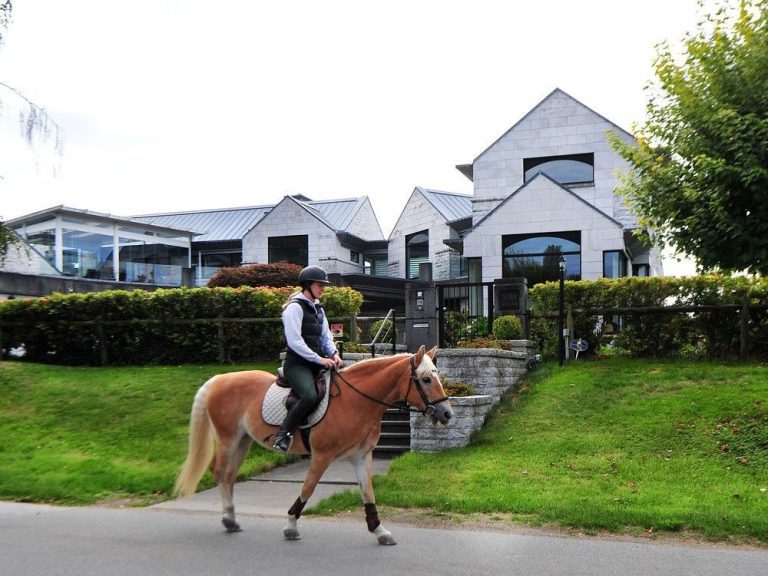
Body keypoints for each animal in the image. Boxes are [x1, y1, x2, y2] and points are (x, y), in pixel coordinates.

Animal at [171, 344, 452, 548]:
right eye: (426, 379)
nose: (447, 414)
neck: (356, 401)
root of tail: (219, 379)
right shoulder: (322, 456)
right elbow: (308, 488)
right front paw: (291, 526)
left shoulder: (362, 457)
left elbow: (368, 493)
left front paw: (380, 530)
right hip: (229, 439)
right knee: (220, 472)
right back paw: (229, 519)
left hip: (243, 441)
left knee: (229, 476)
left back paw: (231, 518)